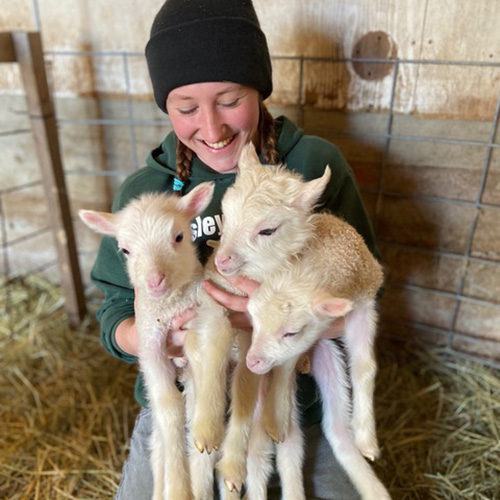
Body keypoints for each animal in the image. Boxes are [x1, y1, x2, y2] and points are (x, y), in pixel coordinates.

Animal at [78, 183, 234, 500]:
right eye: (125, 250)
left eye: (178, 237)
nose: (154, 281)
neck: (172, 305)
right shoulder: (150, 342)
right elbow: (169, 407)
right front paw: (178, 489)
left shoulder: (206, 316)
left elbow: (209, 362)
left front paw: (207, 432)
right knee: (160, 445)